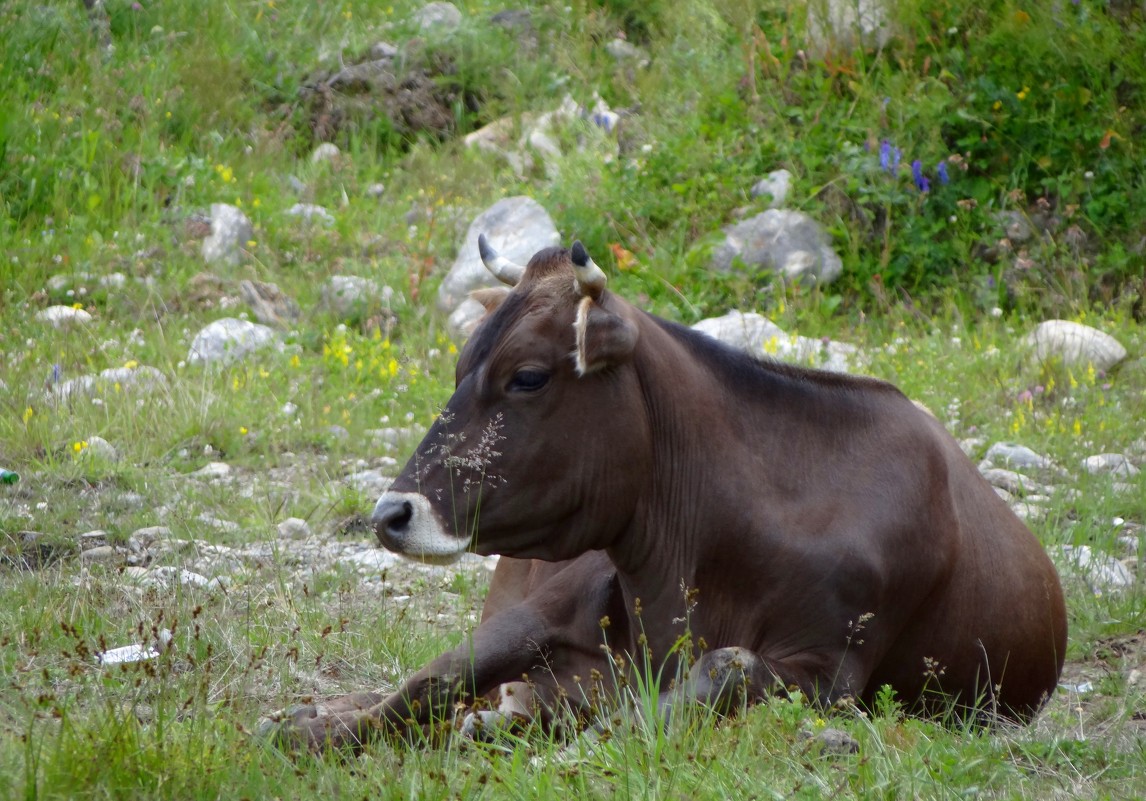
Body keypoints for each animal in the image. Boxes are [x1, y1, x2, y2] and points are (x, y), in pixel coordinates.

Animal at [265, 236, 1063, 751]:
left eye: (528, 375)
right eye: (462, 365)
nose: (391, 513)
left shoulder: (830, 668)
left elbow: (719, 670)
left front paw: (594, 737)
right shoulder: (552, 603)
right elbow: (435, 678)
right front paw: (316, 729)